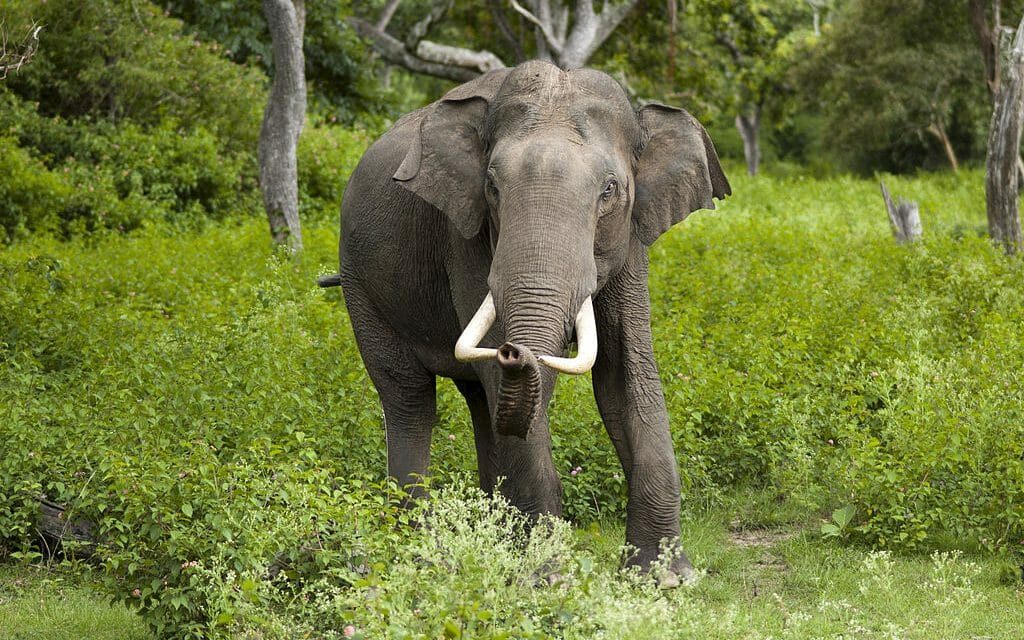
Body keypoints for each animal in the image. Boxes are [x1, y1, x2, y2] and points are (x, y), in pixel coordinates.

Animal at [323, 59, 733, 585]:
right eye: (493, 187)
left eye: (610, 190)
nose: (515, 350)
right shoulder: (466, 235)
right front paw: (547, 579)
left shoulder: (631, 239)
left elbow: (625, 375)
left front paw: (664, 579)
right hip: (360, 284)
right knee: (410, 397)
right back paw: (417, 550)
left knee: (480, 401)